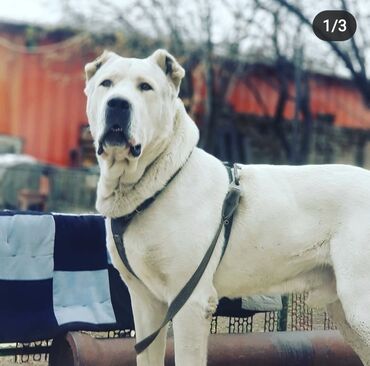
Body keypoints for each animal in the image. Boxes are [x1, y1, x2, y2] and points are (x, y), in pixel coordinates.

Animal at [85, 49, 370, 366]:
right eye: (106, 83)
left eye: (145, 87)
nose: (118, 104)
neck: (156, 180)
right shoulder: (145, 304)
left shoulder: (190, 303)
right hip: (345, 313)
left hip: (359, 306)